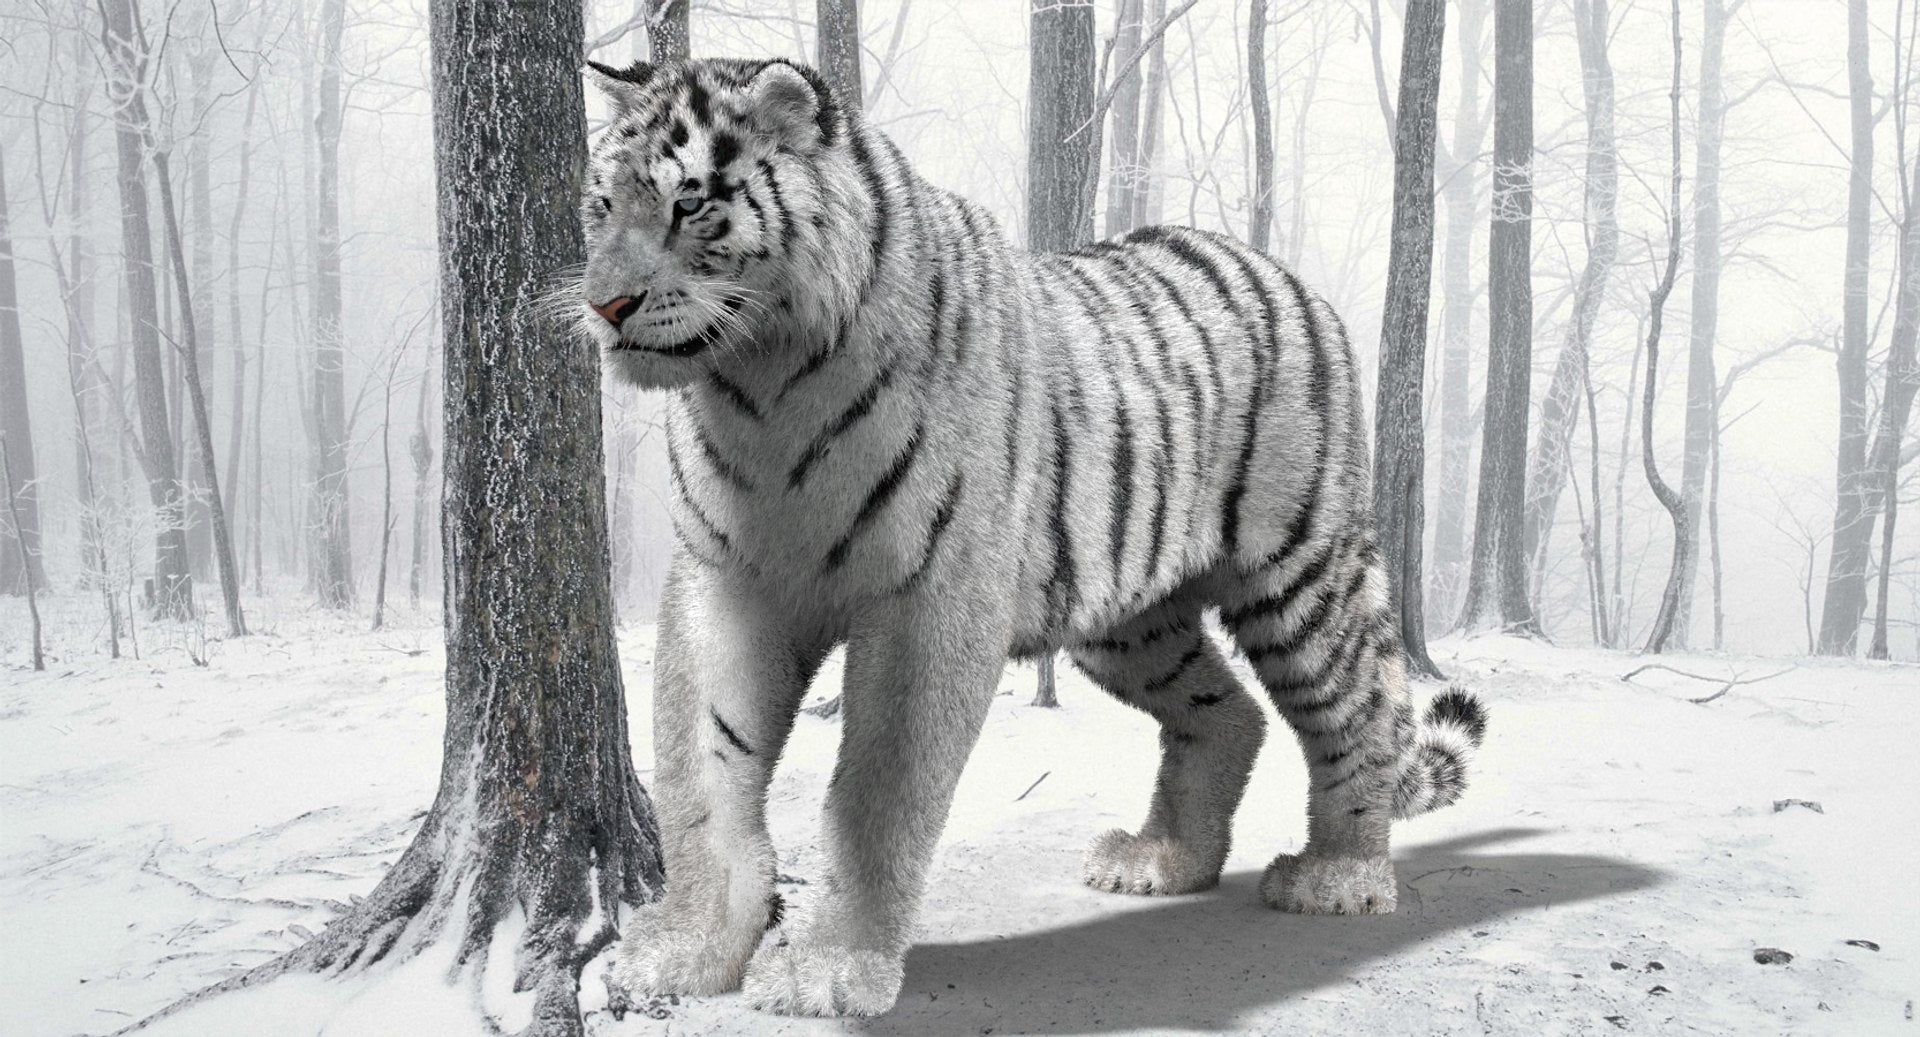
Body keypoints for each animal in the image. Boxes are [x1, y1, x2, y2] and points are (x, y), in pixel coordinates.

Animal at [575, 56, 1488, 1018]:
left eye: (689, 204)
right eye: (602, 206)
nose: (605, 304)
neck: (759, 383)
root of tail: (1287, 276)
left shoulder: (933, 599)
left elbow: (877, 795)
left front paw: (828, 968)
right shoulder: (726, 577)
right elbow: (699, 767)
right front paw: (683, 948)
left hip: (1303, 576)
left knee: (1359, 714)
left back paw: (1340, 877)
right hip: (1126, 620)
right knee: (1228, 711)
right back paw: (1162, 861)